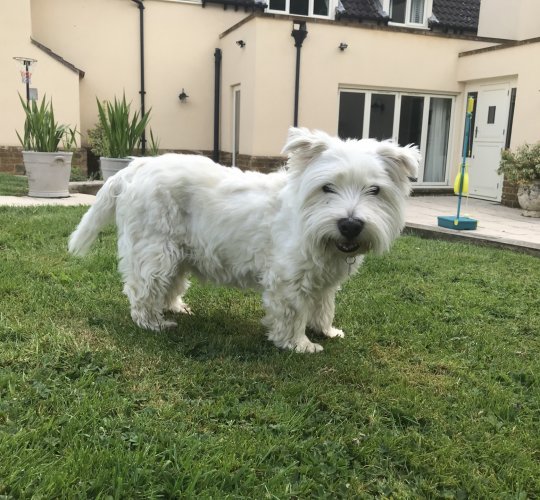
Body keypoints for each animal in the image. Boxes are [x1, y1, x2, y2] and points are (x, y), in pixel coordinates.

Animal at [69, 128, 420, 352]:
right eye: (327, 187)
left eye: (374, 190)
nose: (350, 225)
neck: (311, 225)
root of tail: (133, 168)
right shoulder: (288, 280)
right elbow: (293, 314)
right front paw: (300, 344)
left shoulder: (323, 281)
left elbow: (323, 307)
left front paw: (326, 331)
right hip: (155, 250)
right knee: (143, 289)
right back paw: (153, 323)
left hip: (178, 252)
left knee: (169, 285)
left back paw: (176, 308)